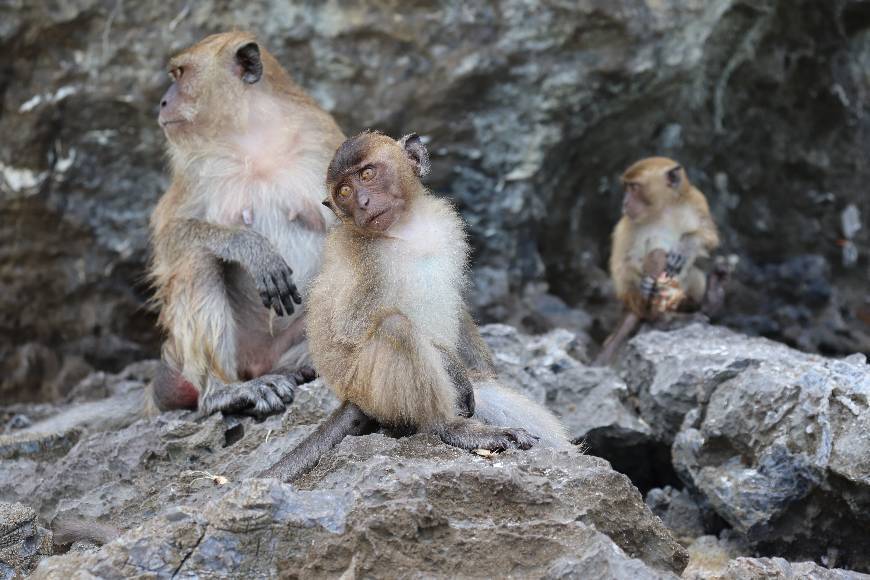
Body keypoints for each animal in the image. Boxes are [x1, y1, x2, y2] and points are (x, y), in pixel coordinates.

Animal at [148, 32, 345, 418]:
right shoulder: (194, 166)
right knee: (197, 258)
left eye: (180, 74)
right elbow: (169, 235)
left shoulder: (323, 144)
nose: (163, 102)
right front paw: (251, 248)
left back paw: (305, 367)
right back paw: (224, 390)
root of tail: (262, 363)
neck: (254, 137)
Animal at [261, 132, 570, 482]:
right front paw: (451, 368)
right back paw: (452, 428)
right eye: (344, 192)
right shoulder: (364, 260)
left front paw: (486, 369)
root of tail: (351, 399)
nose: (362, 202)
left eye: (367, 174)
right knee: (397, 329)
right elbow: (353, 328)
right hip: (373, 391)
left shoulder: (447, 224)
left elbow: (457, 300)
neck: (406, 230)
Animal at [594, 157, 723, 365]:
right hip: (638, 303)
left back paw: (707, 301)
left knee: (693, 274)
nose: (625, 201)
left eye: (633, 187)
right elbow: (624, 264)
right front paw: (646, 284)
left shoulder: (697, 201)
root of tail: (633, 308)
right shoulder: (628, 224)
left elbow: (709, 237)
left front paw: (686, 246)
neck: (664, 209)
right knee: (657, 255)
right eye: (627, 187)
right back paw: (665, 318)